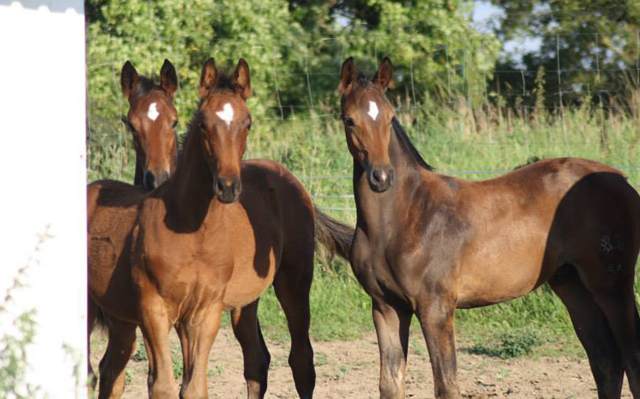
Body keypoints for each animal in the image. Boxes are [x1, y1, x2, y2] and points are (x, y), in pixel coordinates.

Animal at [88, 57, 352, 399]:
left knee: (298, 360)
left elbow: (193, 387)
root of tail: (289, 179)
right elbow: (164, 385)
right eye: (202, 124)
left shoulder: (201, 313)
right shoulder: (152, 311)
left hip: (293, 281)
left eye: (248, 123)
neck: (190, 230)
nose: (227, 186)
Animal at [338, 56, 640, 399]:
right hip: (572, 284)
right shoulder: (386, 307)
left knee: (631, 358)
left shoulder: (436, 308)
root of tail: (622, 181)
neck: (404, 216)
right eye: (349, 120)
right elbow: (390, 384)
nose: (382, 177)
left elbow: (446, 385)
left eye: (390, 119)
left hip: (612, 283)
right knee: (606, 361)